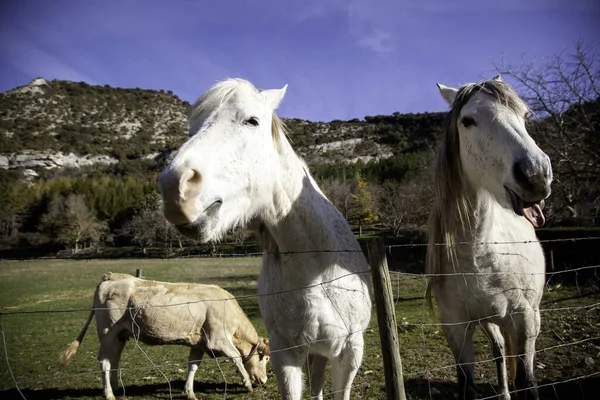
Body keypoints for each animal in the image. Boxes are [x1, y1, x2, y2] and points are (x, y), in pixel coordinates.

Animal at [58, 274, 270, 400]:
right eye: (266, 358)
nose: (265, 379)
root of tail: (111, 276)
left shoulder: (198, 343)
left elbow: (193, 366)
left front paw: (189, 392)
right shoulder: (217, 339)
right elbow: (236, 358)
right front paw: (247, 384)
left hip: (120, 335)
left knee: (114, 359)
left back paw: (116, 388)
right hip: (107, 332)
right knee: (104, 361)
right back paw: (109, 394)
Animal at [157, 79, 372, 400]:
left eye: (252, 120)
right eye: (191, 129)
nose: (174, 188)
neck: (315, 269)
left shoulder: (349, 352)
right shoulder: (287, 354)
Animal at [426, 76, 552, 400]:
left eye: (525, 116)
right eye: (468, 121)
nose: (536, 175)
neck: (479, 254)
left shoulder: (524, 319)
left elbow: (527, 381)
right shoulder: (456, 329)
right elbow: (467, 385)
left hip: (529, 318)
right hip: (488, 322)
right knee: (499, 349)